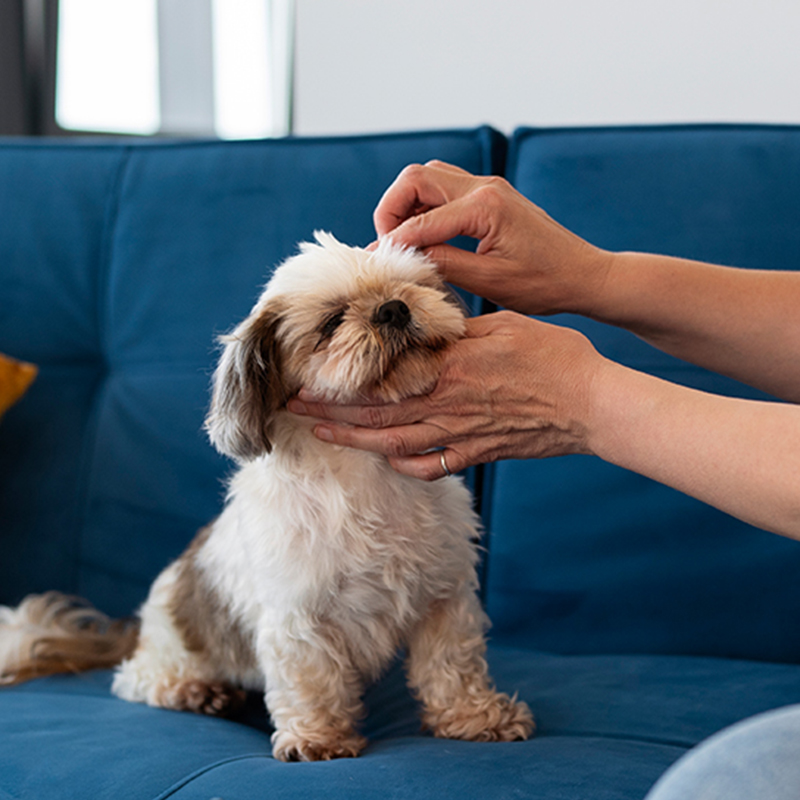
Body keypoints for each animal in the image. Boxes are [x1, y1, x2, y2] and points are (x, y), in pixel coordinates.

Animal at [4, 233, 536, 764]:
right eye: (331, 322)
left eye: (411, 286)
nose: (393, 308)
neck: (365, 471)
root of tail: (141, 626)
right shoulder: (297, 616)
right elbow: (311, 680)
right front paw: (317, 738)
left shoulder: (445, 596)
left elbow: (452, 665)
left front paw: (476, 718)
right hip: (173, 652)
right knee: (135, 681)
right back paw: (197, 692)